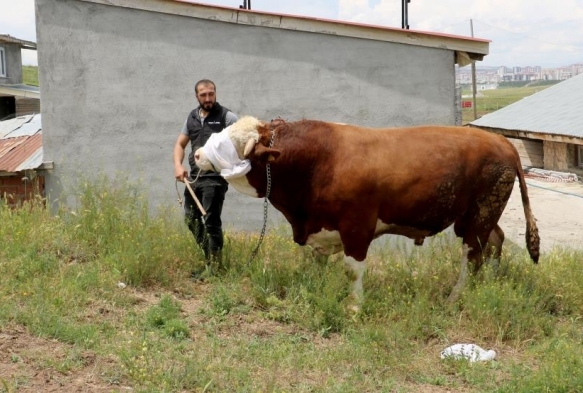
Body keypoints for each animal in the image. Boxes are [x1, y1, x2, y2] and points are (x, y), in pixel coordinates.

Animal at [194, 115, 540, 302]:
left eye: (229, 143)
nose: (196, 153)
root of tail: (502, 141)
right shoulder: (322, 228)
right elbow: (316, 263)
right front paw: (315, 289)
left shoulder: (357, 225)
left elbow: (352, 268)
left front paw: (354, 306)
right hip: (479, 214)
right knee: (495, 242)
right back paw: (491, 282)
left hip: (479, 213)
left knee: (472, 254)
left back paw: (456, 296)